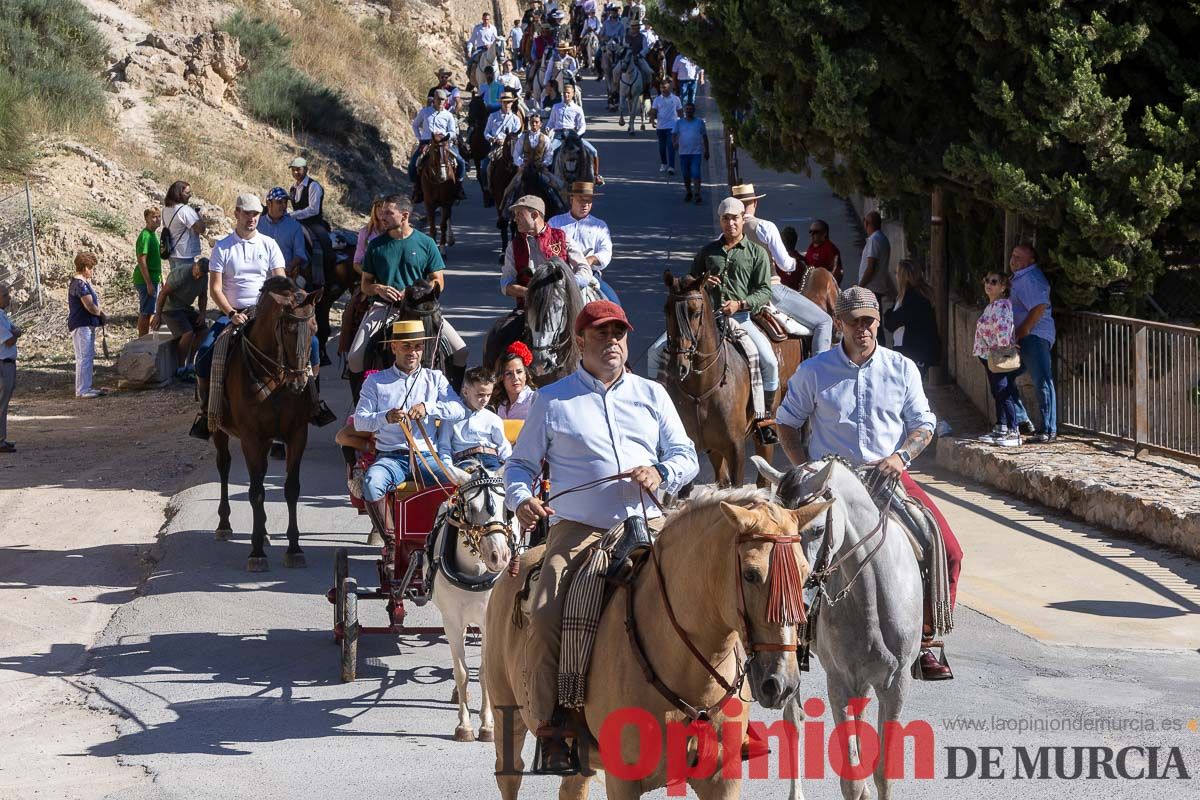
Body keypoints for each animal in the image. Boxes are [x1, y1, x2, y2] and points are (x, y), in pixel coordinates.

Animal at [211, 278, 321, 573]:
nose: (299, 383)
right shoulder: (251, 437)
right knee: (224, 467)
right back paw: (225, 525)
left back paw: (266, 532)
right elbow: (257, 492)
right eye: (288, 329)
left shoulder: (297, 434)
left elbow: (291, 489)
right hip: (219, 431)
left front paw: (294, 549)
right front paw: (256, 552)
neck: (274, 377)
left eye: (315, 328)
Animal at [436, 460, 516, 748]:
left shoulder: (488, 622)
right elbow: (461, 672)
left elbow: (484, 672)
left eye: (507, 508)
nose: (500, 556)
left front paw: (488, 725)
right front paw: (465, 725)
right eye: (470, 508)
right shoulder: (451, 621)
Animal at [482, 489, 830, 800]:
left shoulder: (722, 780)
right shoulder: (623, 782)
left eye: (804, 573)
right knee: (509, 775)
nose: (782, 683)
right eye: (751, 574)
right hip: (506, 719)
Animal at [662, 272, 801, 489]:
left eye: (695, 312)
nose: (678, 366)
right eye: (666, 310)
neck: (701, 389)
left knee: (763, 480)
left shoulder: (735, 450)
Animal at [753, 455, 921, 800]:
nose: (787, 599)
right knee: (794, 719)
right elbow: (851, 778)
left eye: (817, 529)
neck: (872, 596)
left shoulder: (897, 684)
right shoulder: (839, 681)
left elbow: (884, 771)